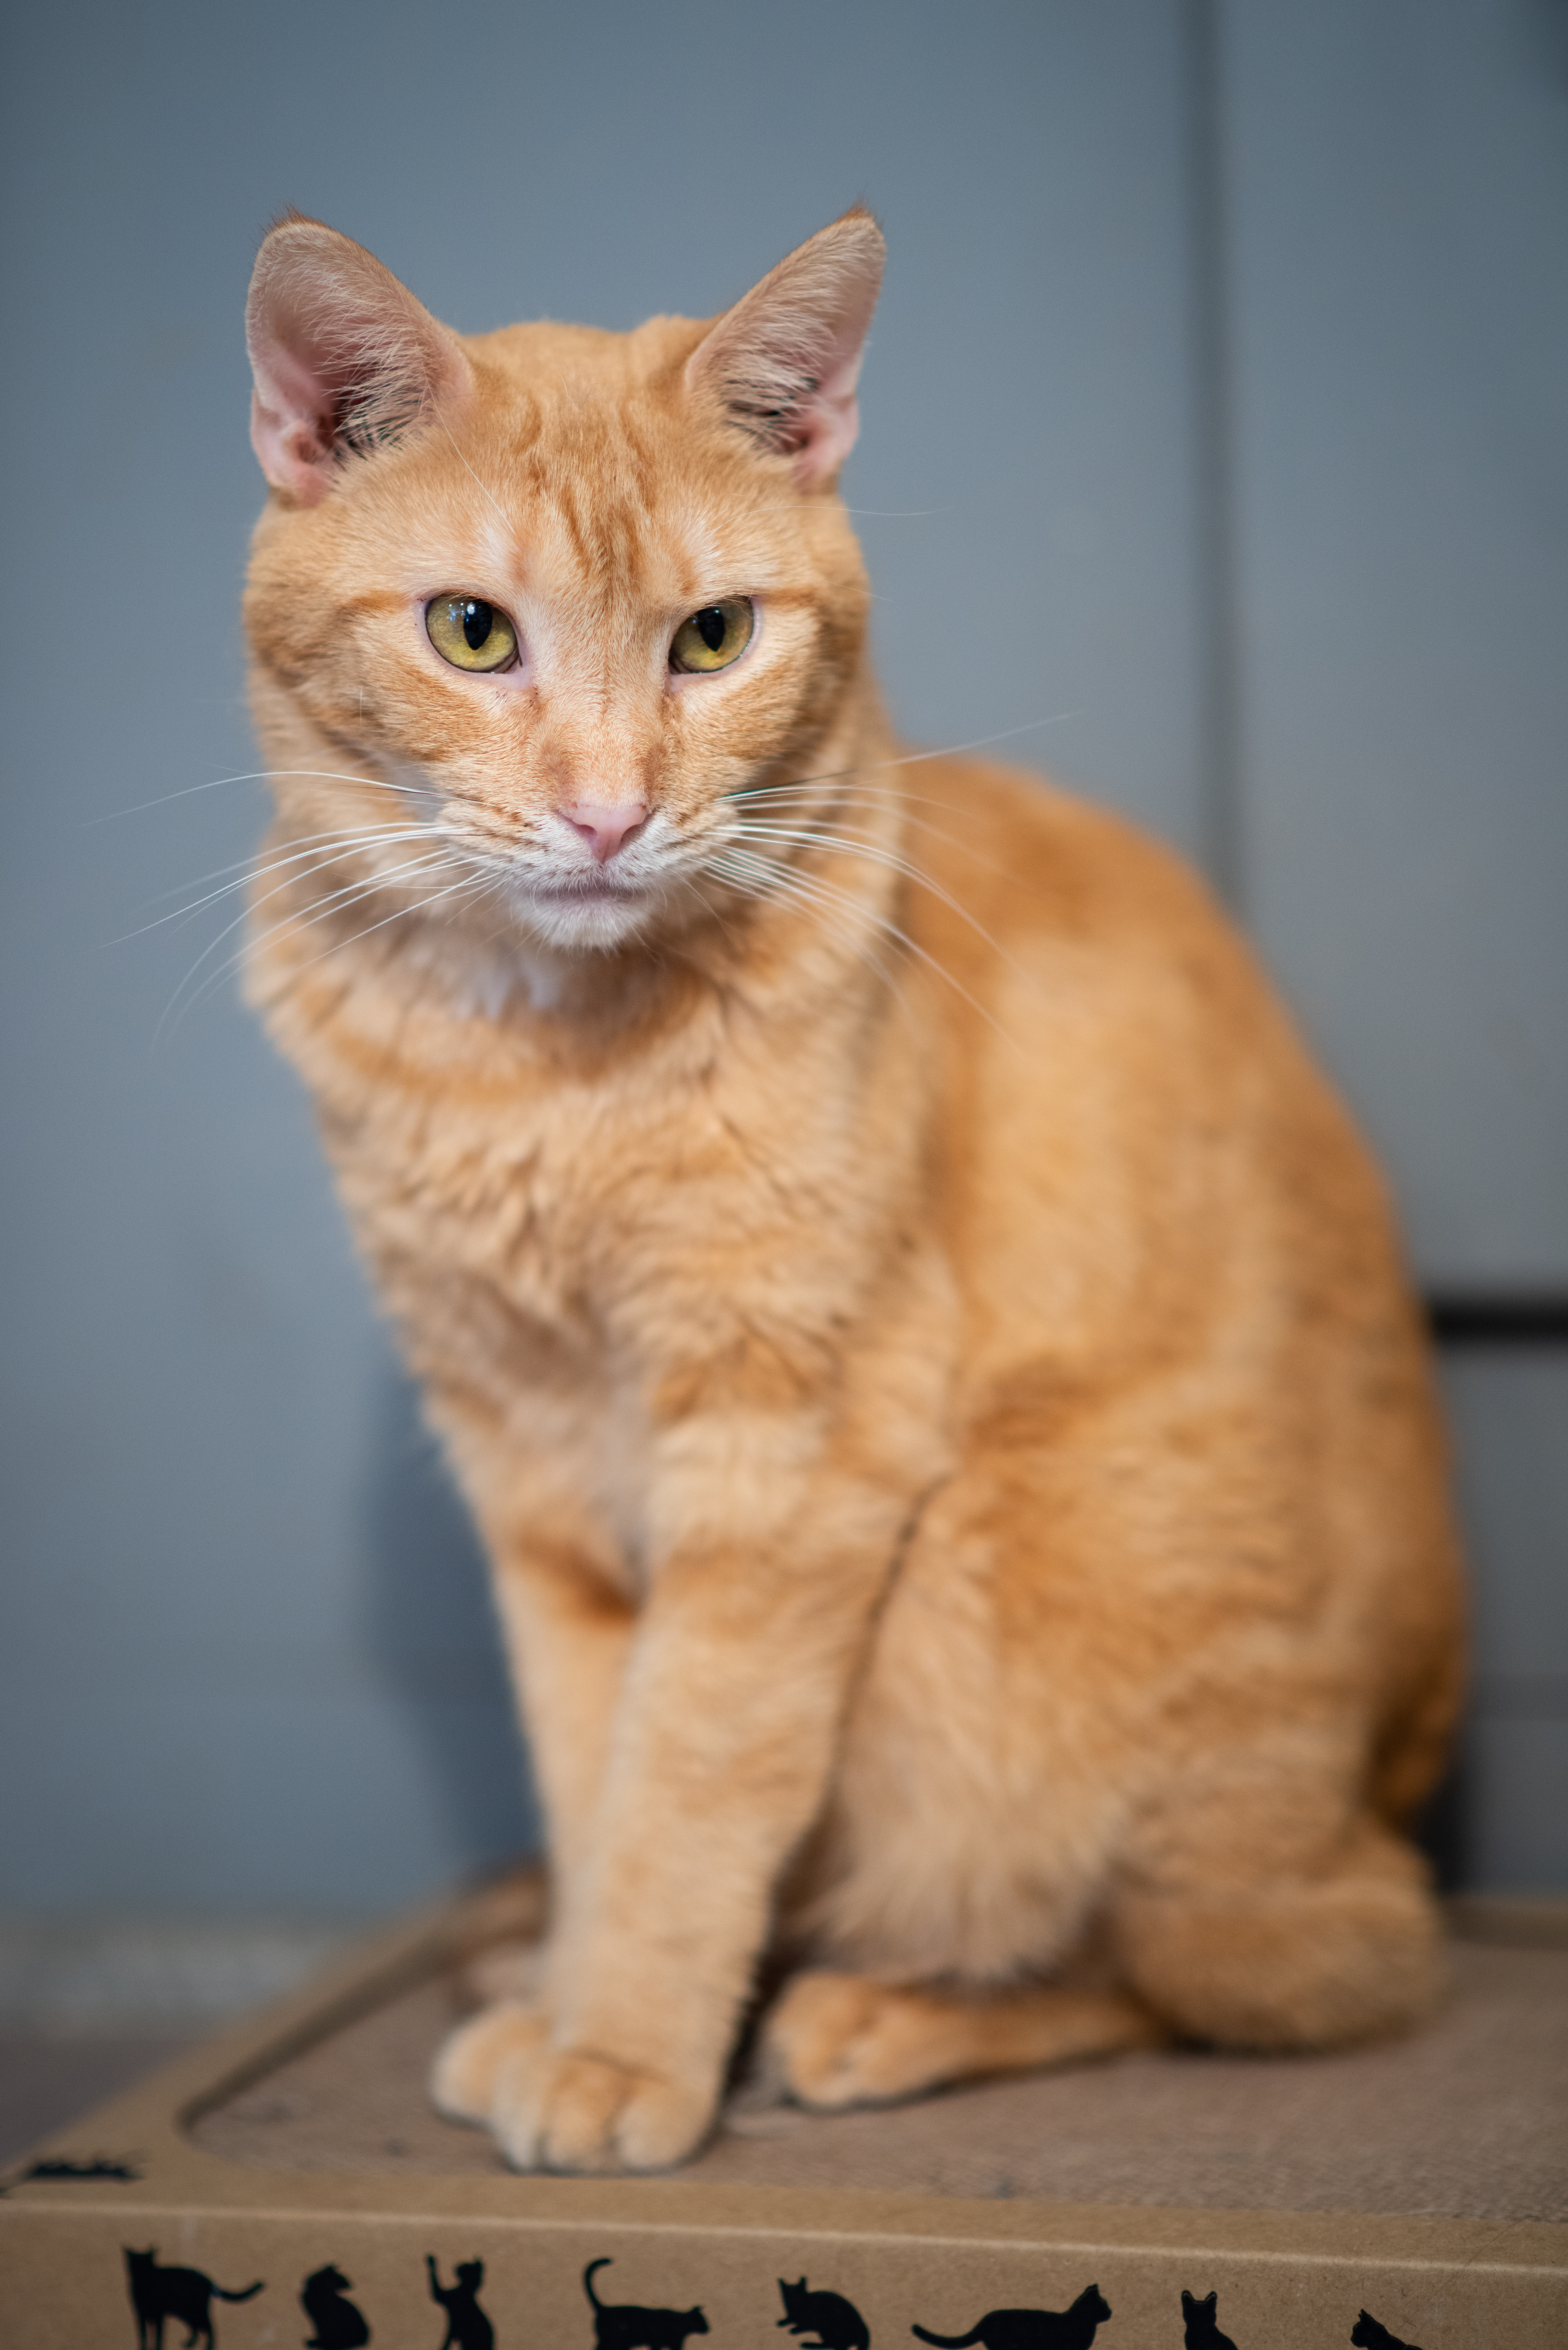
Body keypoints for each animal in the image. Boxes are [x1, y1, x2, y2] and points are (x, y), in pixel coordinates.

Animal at [239, 211, 1467, 2171]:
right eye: (471, 632)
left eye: (714, 638)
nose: (607, 815)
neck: (542, 1066)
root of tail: (1404, 1779)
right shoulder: (531, 1470)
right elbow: (594, 1775)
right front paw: (571, 1994)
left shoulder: (788, 1446)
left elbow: (685, 1784)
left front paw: (623, 2048)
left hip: (1006, 1586)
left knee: (1269, 1965)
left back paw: (886, 2009)